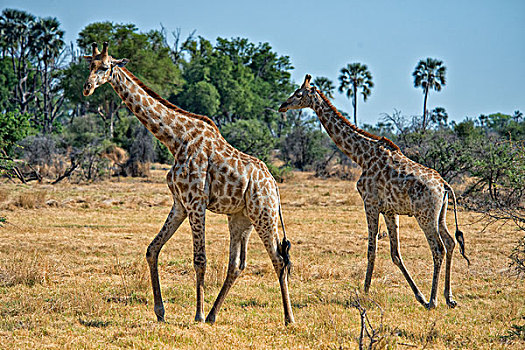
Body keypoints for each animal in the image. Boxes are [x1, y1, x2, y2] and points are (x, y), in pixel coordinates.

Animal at [82, 41, 294, 326]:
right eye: (89, 65)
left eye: (105, 67)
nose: (87, 88)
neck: (175, 140)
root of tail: (274, 186)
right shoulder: (180, 203)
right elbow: (152, 249)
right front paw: (160, 312)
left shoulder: (196, 202)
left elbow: (199, 260)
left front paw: (198, 314)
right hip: (241, 217)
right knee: (237, 264)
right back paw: (215, 315)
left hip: (264, 214)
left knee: (279, 259)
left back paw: (288, 318)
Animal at [280, 74, 468, 308]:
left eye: (298, 94)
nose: (282, 105)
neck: (361, 155)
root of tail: (444, 185)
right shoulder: (389, 209)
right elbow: (395, 253)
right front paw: (418, 295)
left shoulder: (370, 203)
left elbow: (372, 249)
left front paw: (365, 292)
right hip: (439, 214)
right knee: (450, 242)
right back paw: (448, 298)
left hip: (424, 215)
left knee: (438, 248)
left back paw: (433, 300)